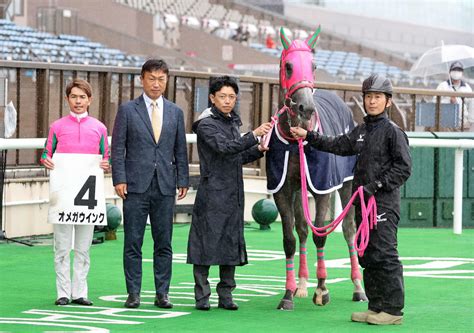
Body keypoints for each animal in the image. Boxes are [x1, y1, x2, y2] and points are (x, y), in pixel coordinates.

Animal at [266, 27, 366, 310]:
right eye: (288, 66)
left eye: (314, 65)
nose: (306, 107)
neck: (296, 141)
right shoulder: (282, 188)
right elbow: (290, 238)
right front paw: (288, 294)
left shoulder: (323, 187)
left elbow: (321, 233)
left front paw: (322, 289)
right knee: (301, 228)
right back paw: (301, 285)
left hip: (347, 184)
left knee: (348, 229)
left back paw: (358, 287)